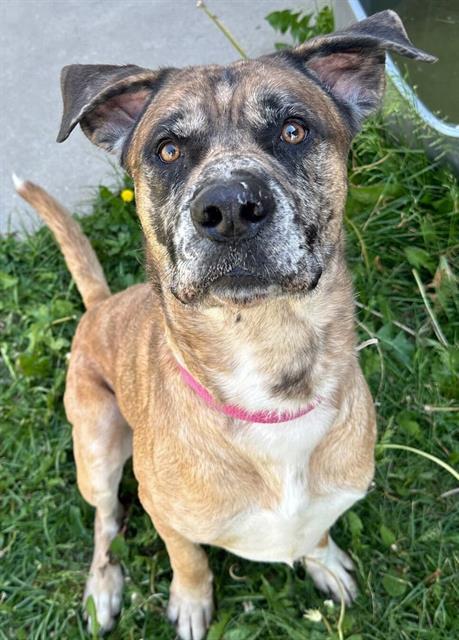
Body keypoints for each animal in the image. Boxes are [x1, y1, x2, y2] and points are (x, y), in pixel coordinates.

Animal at [16, 11, 436, 640]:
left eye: (293, 130)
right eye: (167, 149)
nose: (230, 208)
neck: (268, 363)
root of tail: (98, 305)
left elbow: (316, 532)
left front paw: (323, 560)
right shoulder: (165, 512)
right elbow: (187, 556)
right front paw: (191, 602)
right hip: (96, 446)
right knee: (105, 521)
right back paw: (103, 588)